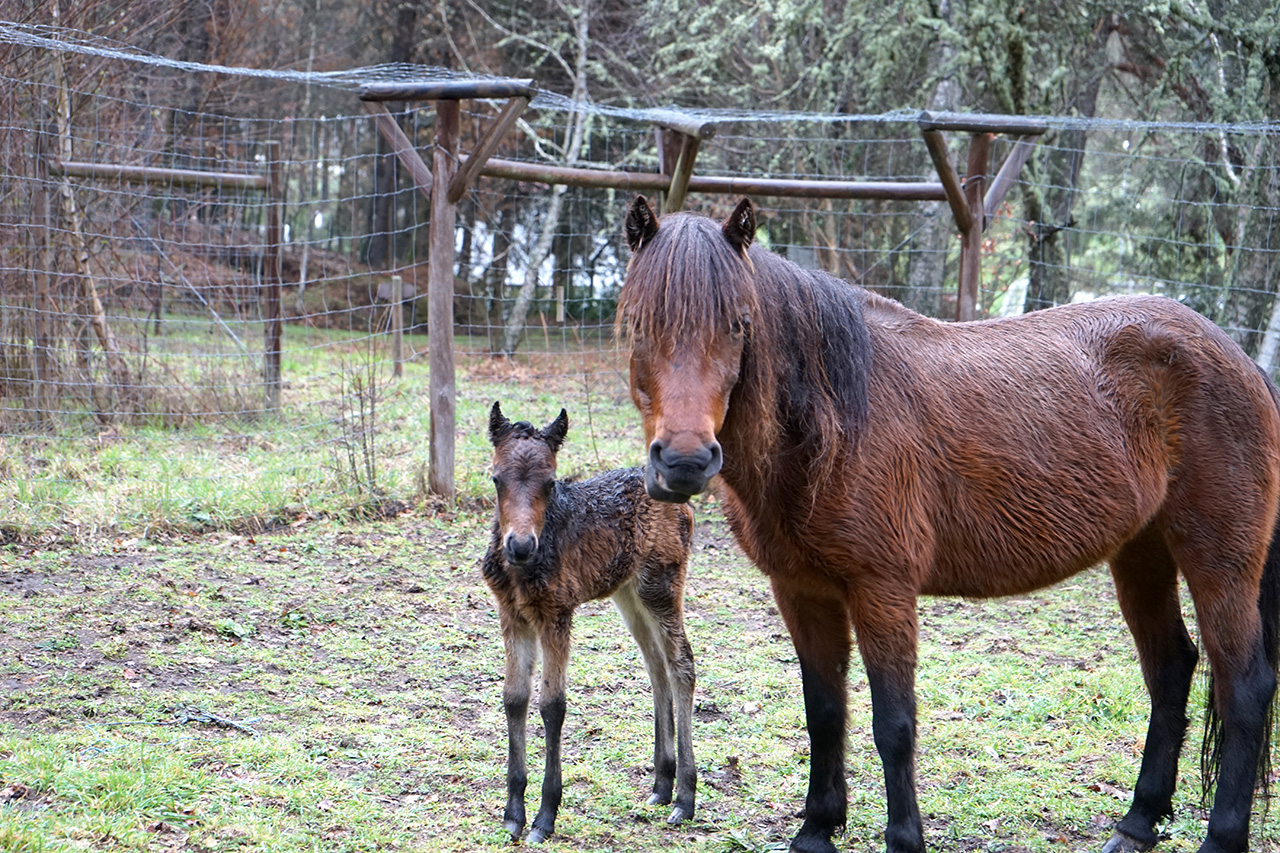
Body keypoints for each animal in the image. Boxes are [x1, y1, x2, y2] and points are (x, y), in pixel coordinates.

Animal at [616, 194, 1280, 850]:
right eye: (639, 323)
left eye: (738, 324)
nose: (683, 463)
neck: (833, 428)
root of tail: (1239, 359)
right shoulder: (801, 591)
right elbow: (825, 713)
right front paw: (817, 829)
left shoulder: (882, 591)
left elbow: (894, 724)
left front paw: (903, 837)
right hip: (1142, 554)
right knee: (1171, 670)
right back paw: (1138, 823)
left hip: (1219, 563)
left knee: (1245, 687)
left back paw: (1220, 837)